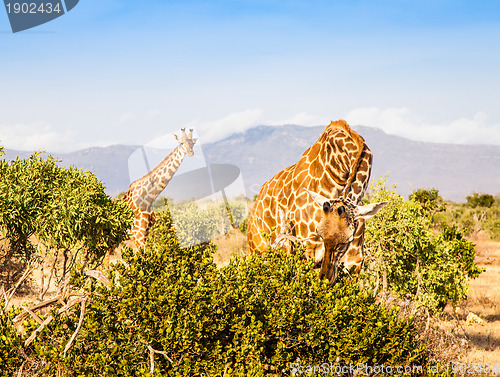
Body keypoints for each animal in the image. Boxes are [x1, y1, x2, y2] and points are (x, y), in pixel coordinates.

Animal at [247, 119, 386, 282]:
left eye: (347, 240)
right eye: (320, 232)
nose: (326, 277)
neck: (338, 174)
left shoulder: (354, 257)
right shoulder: (306, 251)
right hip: (258, 252)